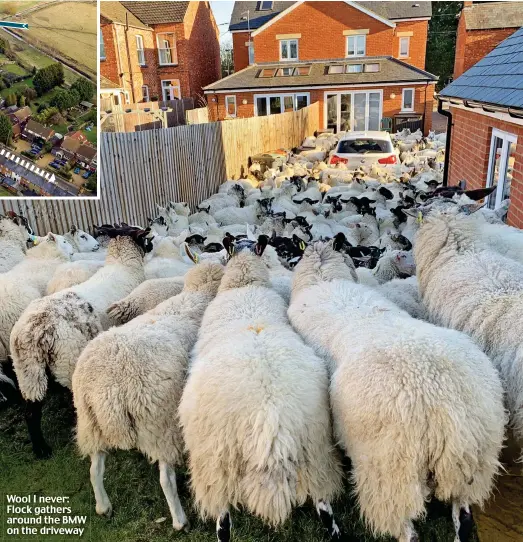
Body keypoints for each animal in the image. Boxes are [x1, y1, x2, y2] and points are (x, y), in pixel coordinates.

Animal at [72, 264, 225, 532]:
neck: (197, 294)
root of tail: (109, 388)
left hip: (89, 423)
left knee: (94, 469)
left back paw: (103, 506)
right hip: (160, 423)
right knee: (166, 479)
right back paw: (179, 520)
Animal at [180, 239, 344, 542]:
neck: (245, 286)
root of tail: (271, 425)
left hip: (216, 463)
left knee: (223, 520)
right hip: (316, 452)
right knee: (324, 505)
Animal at [290, 241, 508, 542]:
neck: (324, 279)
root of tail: (442, 404)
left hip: (392, 471)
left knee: (408, 530)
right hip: (472, 463)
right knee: (463, 520)